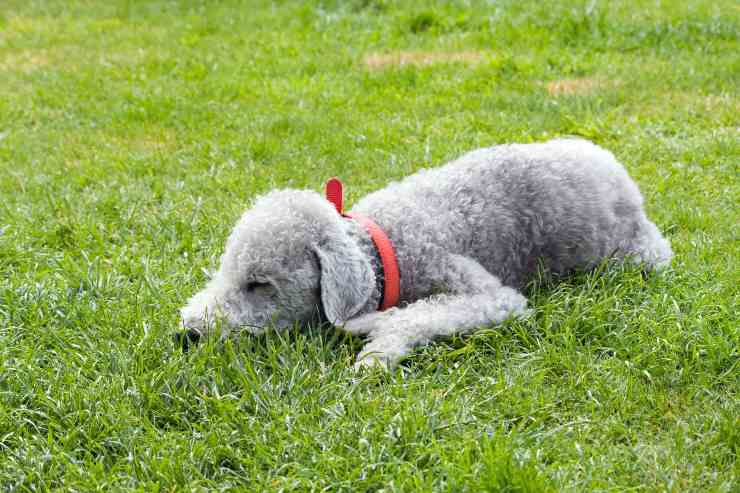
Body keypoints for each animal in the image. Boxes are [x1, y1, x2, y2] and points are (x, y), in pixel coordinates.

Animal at [178, 138, 672, 368]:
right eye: (224, 271)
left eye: (259, 284)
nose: (188, 335)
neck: (381, 249)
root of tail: (618, 171)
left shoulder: (490, 294)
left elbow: (420, 314)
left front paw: (377, 344)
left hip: (636, 254)